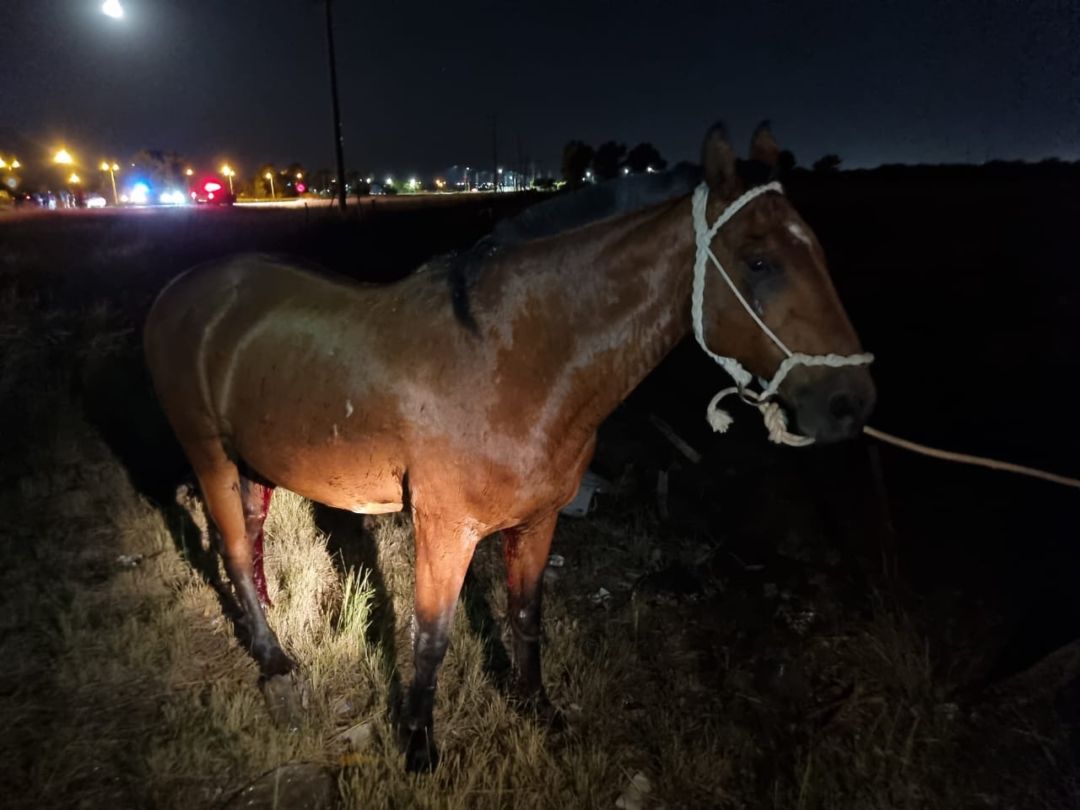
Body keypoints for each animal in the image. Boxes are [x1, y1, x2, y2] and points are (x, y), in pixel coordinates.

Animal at [143, 120, 876, 773]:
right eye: (760, 262)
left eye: (817, 250)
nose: (851, 402)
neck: (509, 360)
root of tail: (179, 291)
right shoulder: (445, 528)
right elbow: (431, 639)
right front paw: (419, 748)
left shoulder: (540, 519)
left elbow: (526, 614)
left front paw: (535, 707)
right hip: (208, 453)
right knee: (232, 549)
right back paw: (274, 660)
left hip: (254, 457)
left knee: (254, 532)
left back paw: (267, 620)